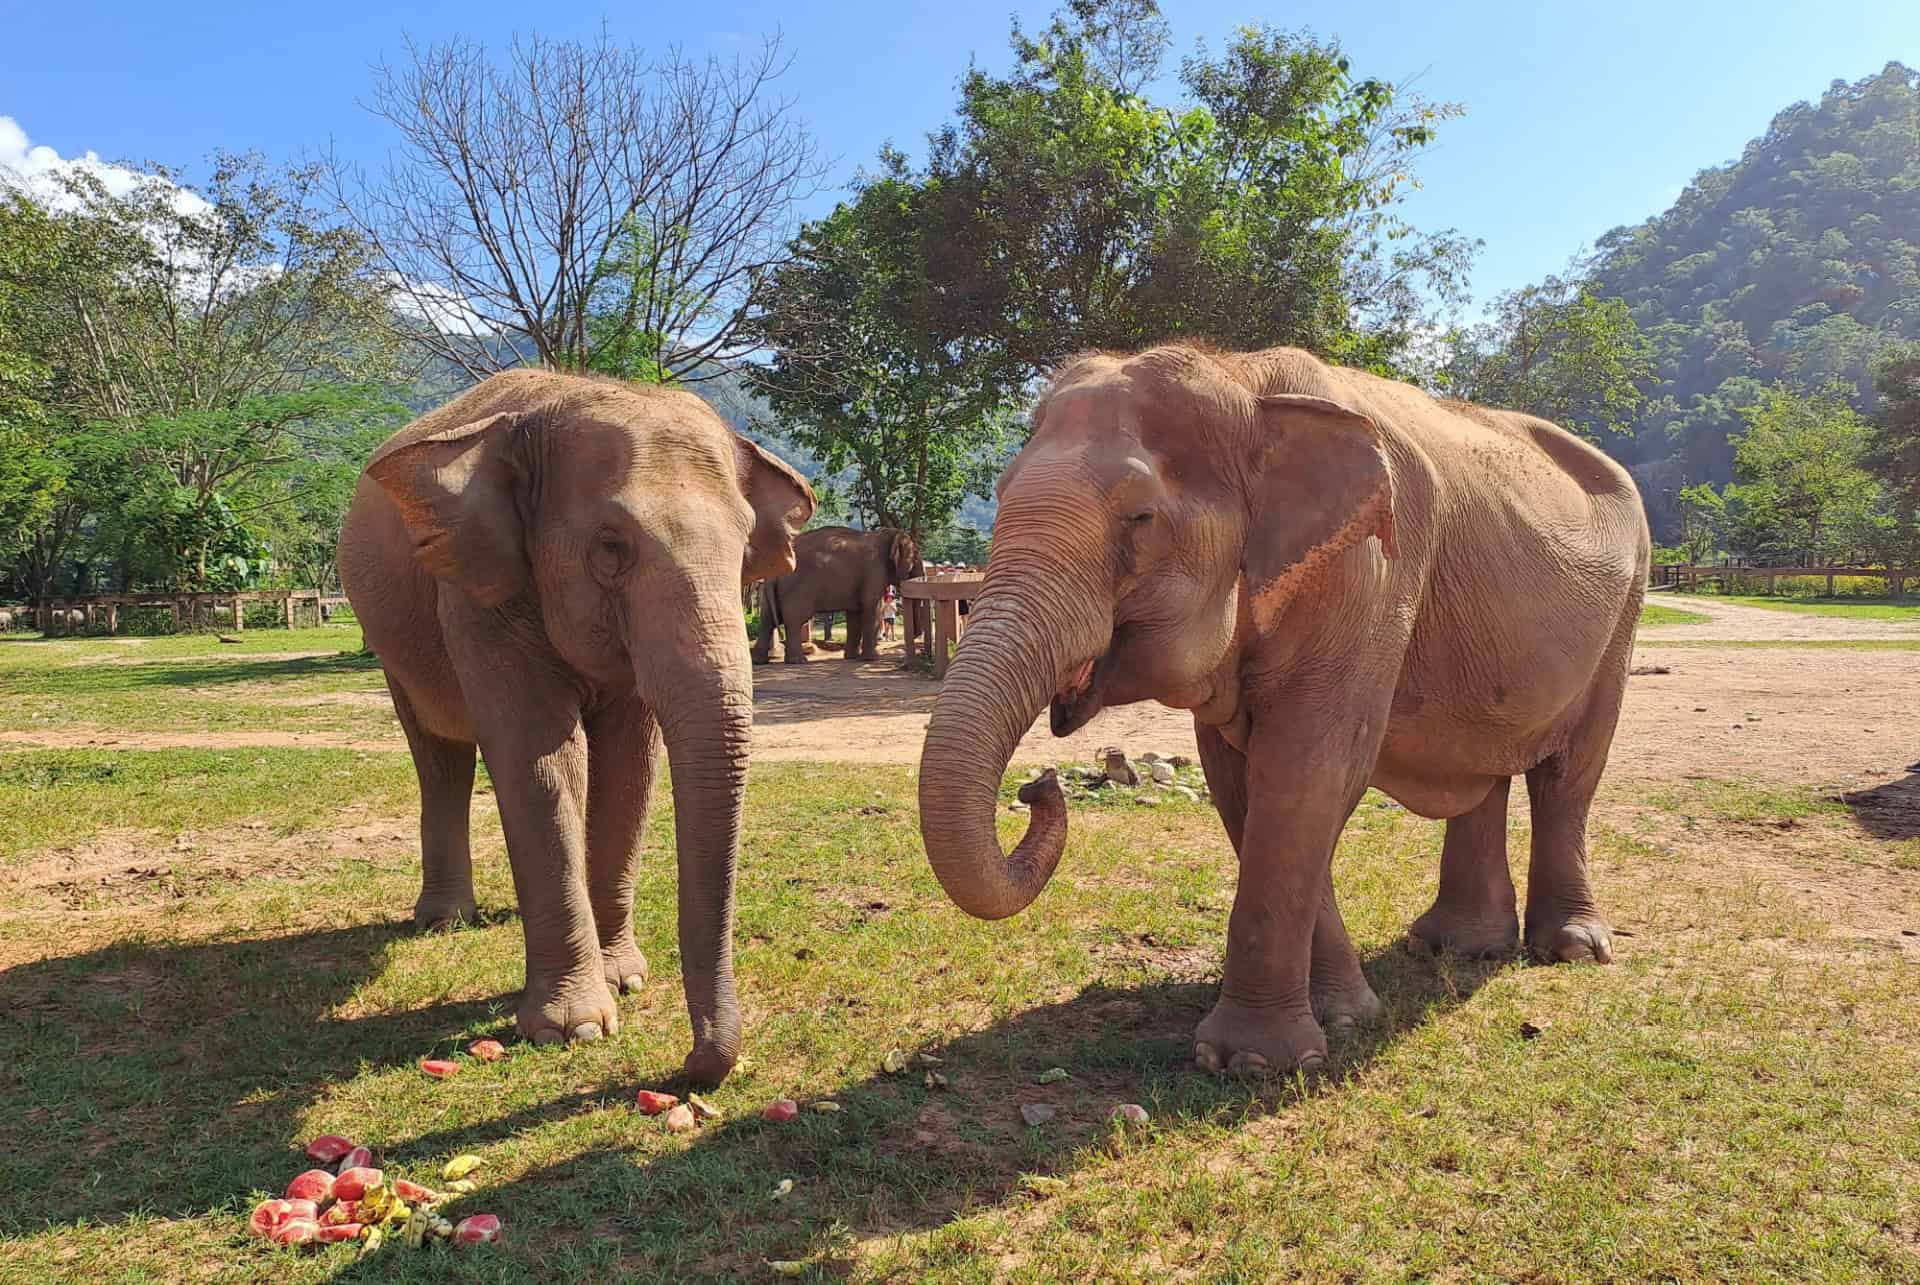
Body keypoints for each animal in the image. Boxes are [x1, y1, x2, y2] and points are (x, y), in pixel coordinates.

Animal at [337, 364, 810, 1075]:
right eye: (611, 547)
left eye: (745, 548)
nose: (692, 1065)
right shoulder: (480, 595)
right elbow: (541, 761)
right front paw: (575, 1029)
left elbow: (629, 767)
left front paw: (626, 980)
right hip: (392, 640)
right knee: (439, 755)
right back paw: (445, 920)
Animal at [752, 522, 925, 660]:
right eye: (915, 559)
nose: (917, 635)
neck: (885, 534)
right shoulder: (873, 571)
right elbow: (872, 608)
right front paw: (873, 659)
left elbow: (855, 614)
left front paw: (852, 657)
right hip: (797, 588)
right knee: (794, 619)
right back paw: (798, 661)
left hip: (768, 593)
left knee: (767, 620)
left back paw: (760, 661)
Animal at [913, 339, 1651, 1075]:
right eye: (1000, 496)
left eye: (1141, 517)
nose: (1038, 784)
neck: (1244, 381)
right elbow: (1244, 784)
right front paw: (1345, 1015)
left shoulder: (1369, 574)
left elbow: (1305, 772)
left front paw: (1252, 1063)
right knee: (1482, 772)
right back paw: (1456, 947)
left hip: (1628, 607)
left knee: (1571, 774)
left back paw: (1572, 949)